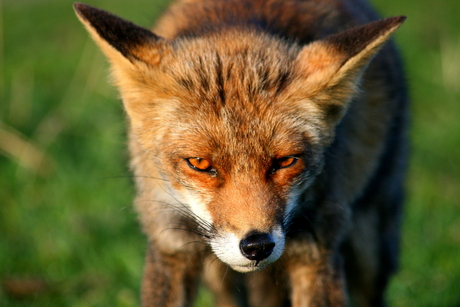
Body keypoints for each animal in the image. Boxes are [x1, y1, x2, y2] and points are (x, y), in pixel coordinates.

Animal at [73, 0, 408, 306]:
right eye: (199, 163)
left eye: (286, 161)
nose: (257, 246)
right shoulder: (171, 245)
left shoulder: (316, 250)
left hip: (369, 249)